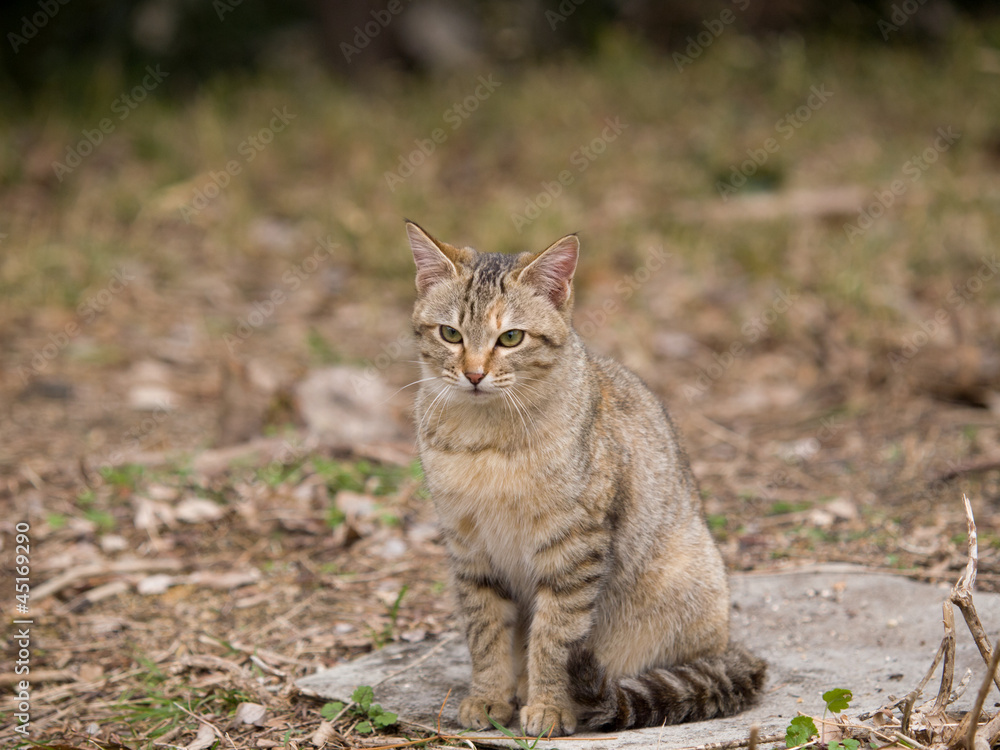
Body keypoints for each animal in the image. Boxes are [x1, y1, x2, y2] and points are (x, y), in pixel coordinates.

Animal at [406, 220, 764, 736]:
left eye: (511, 338)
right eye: (450, 333)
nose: (473, 374)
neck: (487, 439)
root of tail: (731, 646)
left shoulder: (574, 550)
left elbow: (555, 639)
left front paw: (550, 706)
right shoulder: (470, 550)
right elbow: (485, 632)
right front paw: (489, 696)